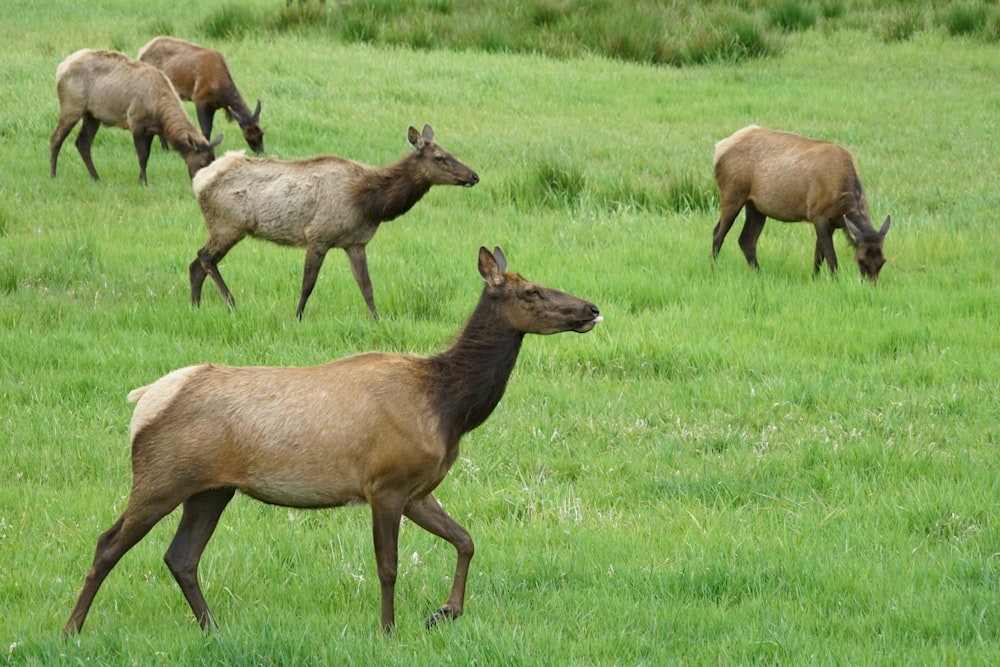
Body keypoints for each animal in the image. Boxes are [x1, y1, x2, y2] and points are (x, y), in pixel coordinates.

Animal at [49, 48, 223, 185]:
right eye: (201, 163)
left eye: (212, 160)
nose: (202, 182)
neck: (160, 113)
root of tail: (60, 68)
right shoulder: (135, 121)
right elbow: (142, 156)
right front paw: (143, 182)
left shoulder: (151, 129)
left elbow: (147, 155)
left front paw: (140, 180)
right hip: (71, 107)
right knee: (56, 138)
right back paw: (53, 175)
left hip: (92, 115)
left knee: (82, 143)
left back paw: (96, 178)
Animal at [60, 247, 600, 636]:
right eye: (530, 292)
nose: (591, 308)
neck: (449, 409)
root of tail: (144, 400)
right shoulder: (384, 482)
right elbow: (388, 566)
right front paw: (388, 629)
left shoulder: (417, 489)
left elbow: (466, 540)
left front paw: (444, 612)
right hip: (162, 475)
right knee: (109, 543)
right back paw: (71, 629)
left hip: (212, 488)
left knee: (181, 556)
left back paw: (212, 629)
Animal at [190, 126, 480, 322]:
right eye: (439, 157)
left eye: (449, 152)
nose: (474, 176)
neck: (368, 203)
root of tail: (198, 180)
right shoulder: (318, 236)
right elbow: (308, 284)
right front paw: (296, 317)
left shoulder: (356, 242)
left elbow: (367, 286)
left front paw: (377, 320)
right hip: (228, 225)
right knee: (204, 257)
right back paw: (230, 302)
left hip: (225, 228)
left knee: (196, 265)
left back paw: (195, 306)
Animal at [712, 124, 892, 282]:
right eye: (860, 260)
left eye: (883, 261)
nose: (871, 285)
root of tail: (718, 148)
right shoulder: (818, 215)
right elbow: (831, 258)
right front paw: (835, 282)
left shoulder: (831, 222)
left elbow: (818, 256)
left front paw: (814, 279)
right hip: (732, 193)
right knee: (718, 233)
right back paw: (713, 269)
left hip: (756, 206)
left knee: (746, 240)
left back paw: (758, 273)